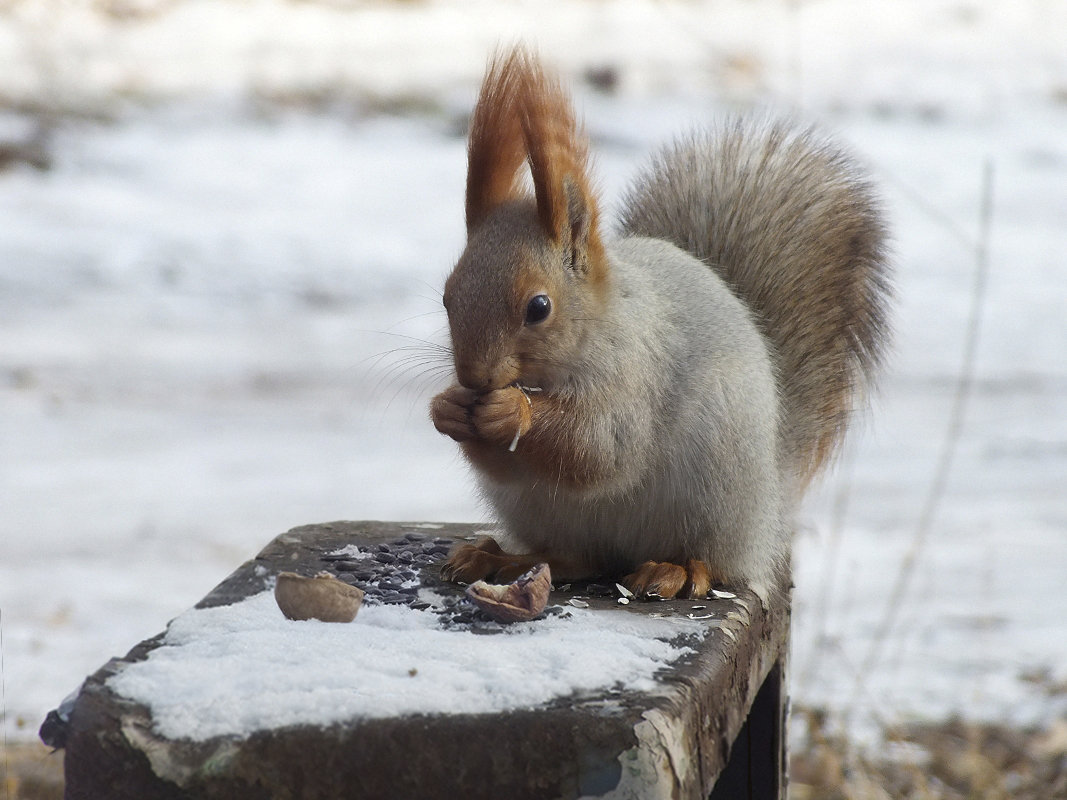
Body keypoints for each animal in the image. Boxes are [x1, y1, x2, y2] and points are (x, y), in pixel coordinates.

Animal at [428, 46, 887, 605]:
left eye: (539, 307)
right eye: (447, 297)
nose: (474, 378)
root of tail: (769, 509)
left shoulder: (635, 375)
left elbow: (598, 449)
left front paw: (511, 411)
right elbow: (512, 460)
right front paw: (448, 408)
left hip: (717, 490)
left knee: (710, 559)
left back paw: (676, 570)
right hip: (544, 514)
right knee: (577, 559)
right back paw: (498, 557)